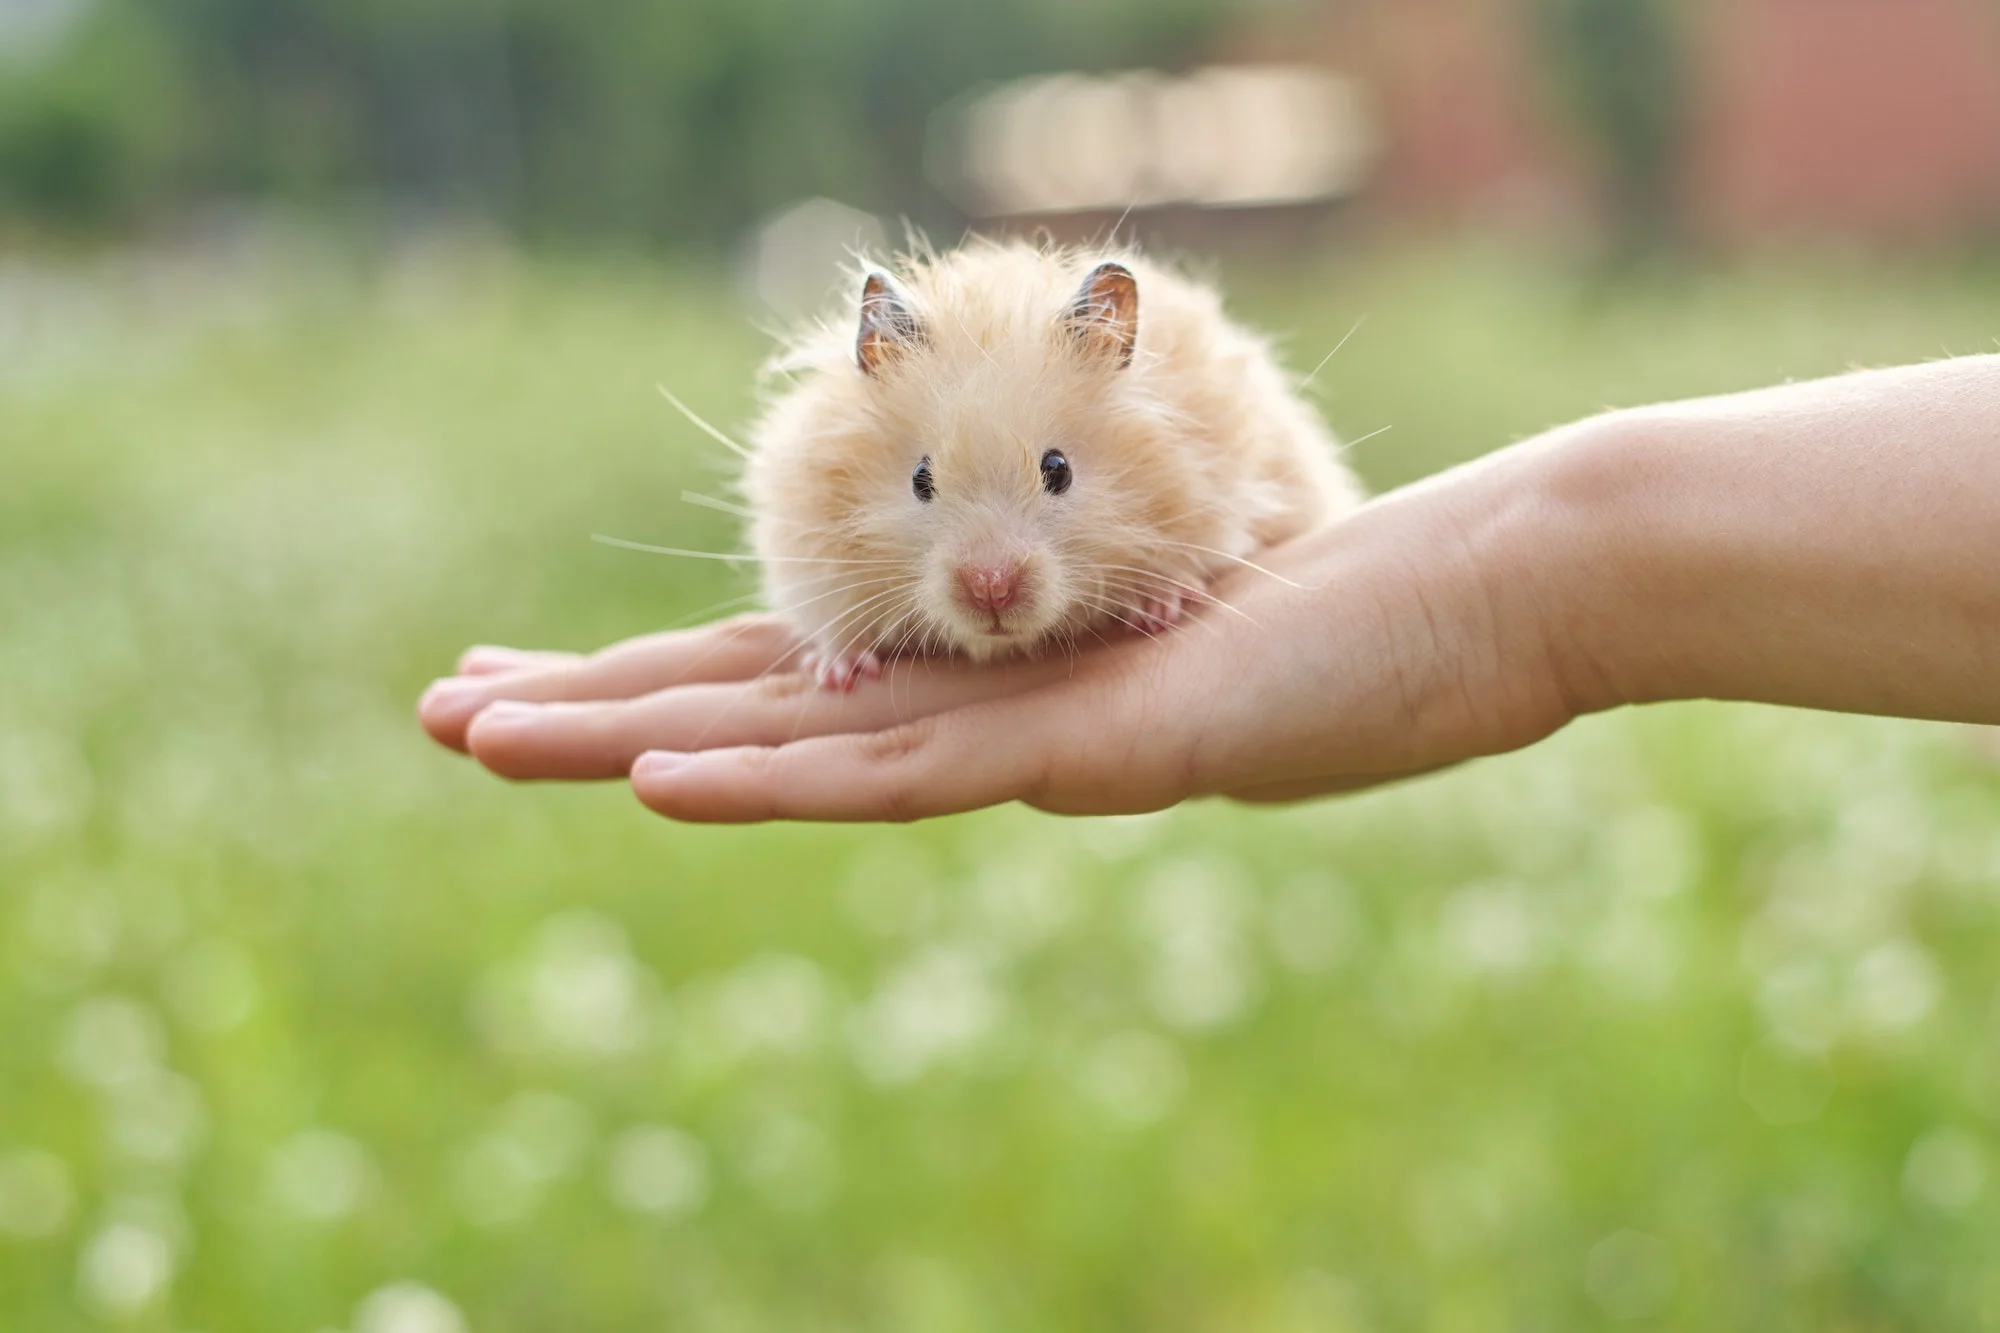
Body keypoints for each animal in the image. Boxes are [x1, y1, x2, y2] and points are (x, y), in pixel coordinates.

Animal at [744, 236, 1368, 684]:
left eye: (1058, 469)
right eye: (920, 479)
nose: (990, 589)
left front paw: (1160, 605)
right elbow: (828, 619)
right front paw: (839, 671)